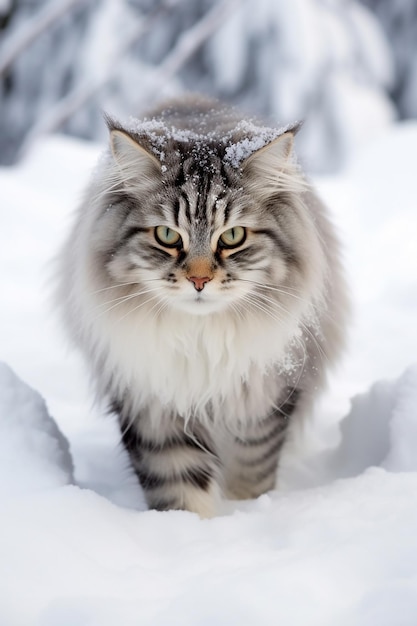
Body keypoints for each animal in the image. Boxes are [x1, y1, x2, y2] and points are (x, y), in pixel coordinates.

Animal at [55, 96, 348, 516]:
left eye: (233, 236)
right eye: (166, 235)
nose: (198, 280)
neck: (200, 340)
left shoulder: (262, 403)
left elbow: (251, 473)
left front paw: (248, 512)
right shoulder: (154, 405)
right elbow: (180, 490)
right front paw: (191, 529)